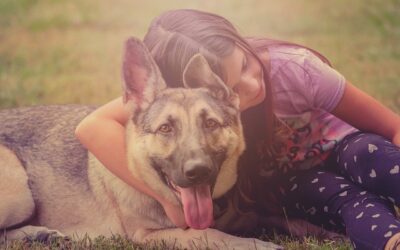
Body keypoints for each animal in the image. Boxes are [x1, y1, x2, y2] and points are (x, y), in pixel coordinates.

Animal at [0, 37, 282, 250]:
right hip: (19, 189)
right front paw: (257, 244)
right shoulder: (150, 235)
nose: (198, 171)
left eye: (210, 123)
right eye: (165, 128)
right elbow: (208, 235)